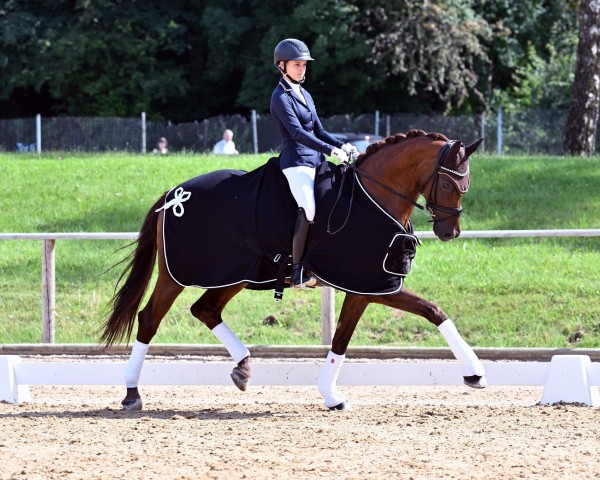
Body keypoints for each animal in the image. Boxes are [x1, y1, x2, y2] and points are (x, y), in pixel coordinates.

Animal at [102, 129, 488, 410]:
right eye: (450, 183)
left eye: (465, 185)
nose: (450, 232)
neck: (372, 198)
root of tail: (173, 194)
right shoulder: (370, 283)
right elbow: (417, 315)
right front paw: (475, 373)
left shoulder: (368, 287)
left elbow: (418, 316)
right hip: (177, 275)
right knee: (150, 319)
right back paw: (132, 393)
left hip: (237, 274)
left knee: (205, 309)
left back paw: (243, 367)